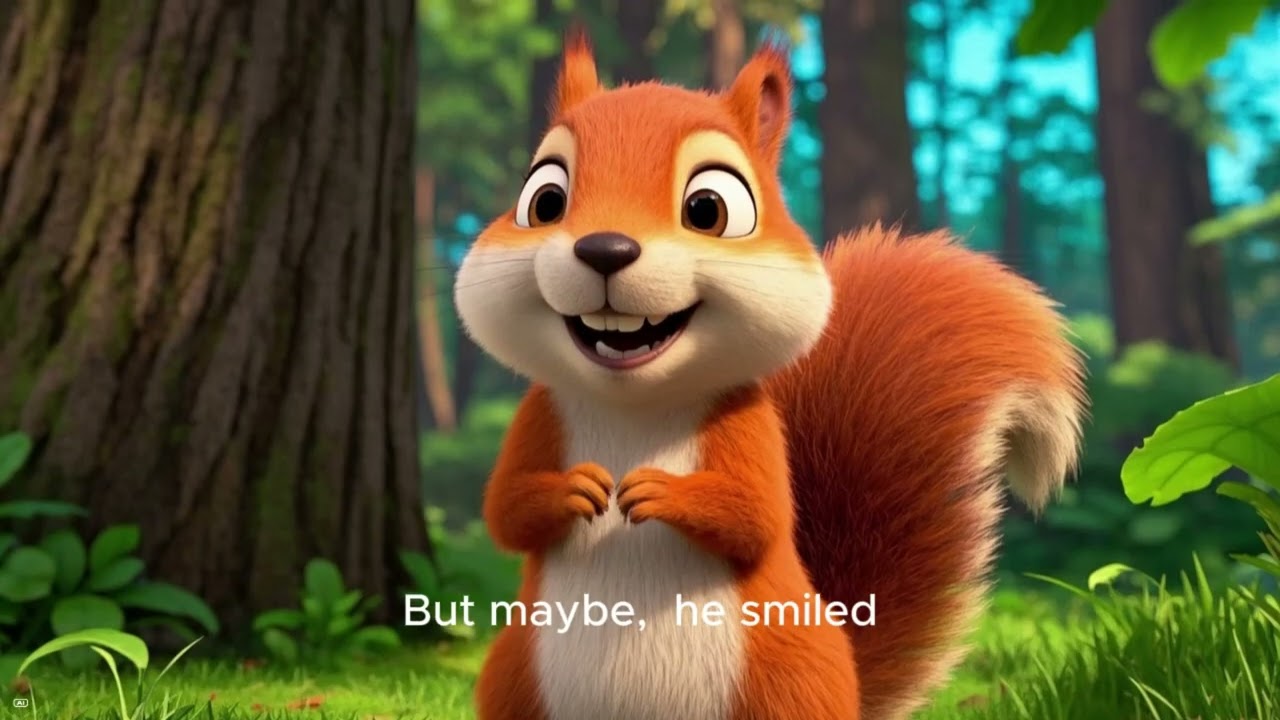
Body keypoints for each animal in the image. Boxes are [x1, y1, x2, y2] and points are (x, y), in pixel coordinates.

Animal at [453, 28, 1087, 720]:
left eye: (710, 208)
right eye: (543, 200)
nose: (606, 248)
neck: (632, 402)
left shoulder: (751, 424)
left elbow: (756, 516)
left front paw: (659, 490)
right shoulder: (539, 413)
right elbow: (504, 510)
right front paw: (574, 488)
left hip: (786, 681)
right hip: (515, 680)